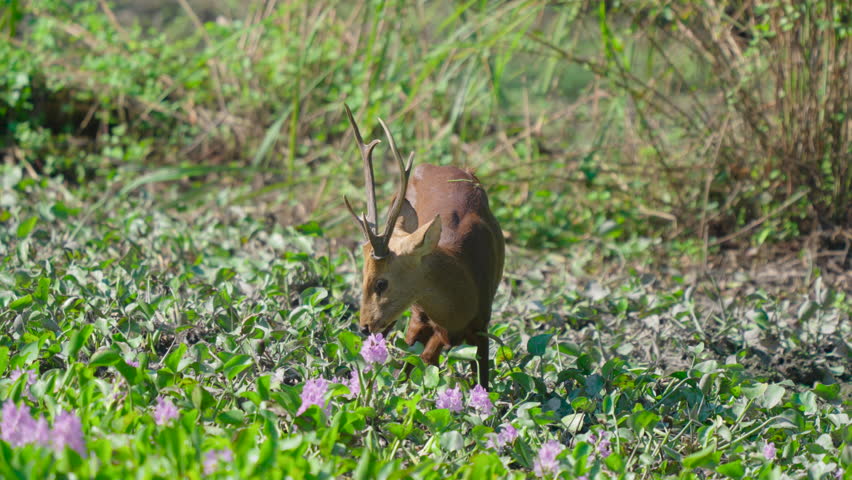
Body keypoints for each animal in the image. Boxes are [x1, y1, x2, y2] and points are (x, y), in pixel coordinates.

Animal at [342, 104, 505, 388]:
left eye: (381, 283)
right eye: (361, 275)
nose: (363, 326)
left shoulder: (483, 326)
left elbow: (482, 383)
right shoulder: (419, 320)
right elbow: (409, 370)